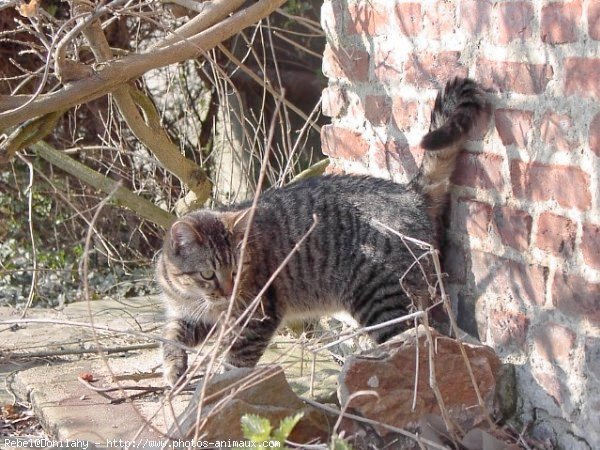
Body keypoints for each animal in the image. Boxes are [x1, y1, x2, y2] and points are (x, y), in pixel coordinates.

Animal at [156, 77, 488, 386]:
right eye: (207, 274)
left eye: (237, 271)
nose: (227, 291)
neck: (194, 297)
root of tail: (409, 192)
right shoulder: (190, 316)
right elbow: (170, 336)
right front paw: (174, 369)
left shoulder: (257, 317)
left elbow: (237, 360)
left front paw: (223, 387)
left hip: (385, 302)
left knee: (417, 340)